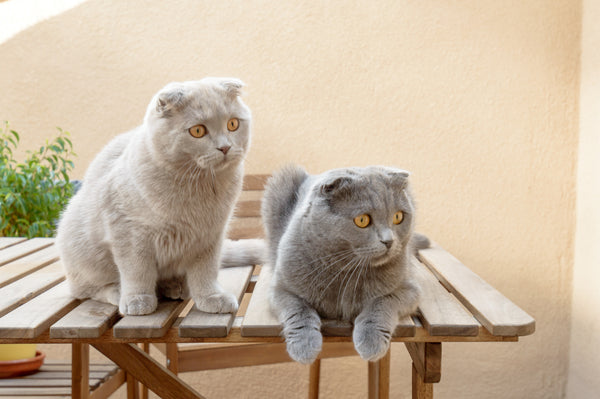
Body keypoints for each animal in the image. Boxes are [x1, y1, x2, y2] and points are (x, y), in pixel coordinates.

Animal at [56, 77, 264, 316]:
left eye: (232, 124)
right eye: (198, 131)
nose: (225, 147)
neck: (198, 187)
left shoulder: (211, 236)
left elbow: (206, 271)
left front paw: (211, 297)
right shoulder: (129, 233)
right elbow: (137, 270)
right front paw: (138, 300)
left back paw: (175, 287)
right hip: (82, 252)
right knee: (85, 289)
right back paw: (118, 292)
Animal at [260, 164, 424, 364]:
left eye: (398, 217)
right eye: (362, 220)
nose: (389, 241)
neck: (347, 269)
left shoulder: (409, 289)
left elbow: (383, 302)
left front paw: (371, 341)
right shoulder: (280, 288)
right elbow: (297, 309)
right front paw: (304, 345)